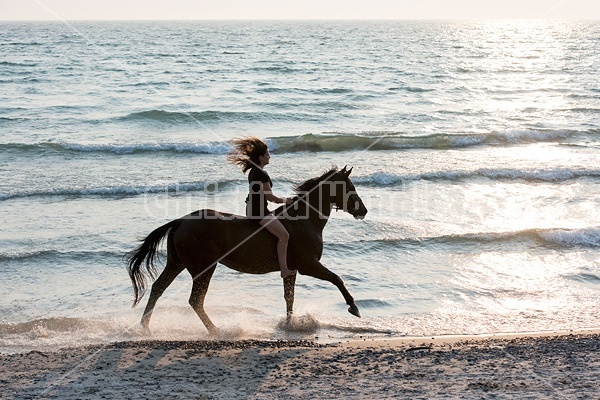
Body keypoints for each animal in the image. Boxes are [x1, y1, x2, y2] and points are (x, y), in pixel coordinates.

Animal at [127, 164, 366, 332]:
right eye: (350, 188)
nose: (363, 211)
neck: (304, 220)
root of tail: (181, 220)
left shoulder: (292, 270)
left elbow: (289, 297)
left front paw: (290, 324)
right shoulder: (309, 265)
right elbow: (336, 279)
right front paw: (354, 308)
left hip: (177, 263)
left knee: (158, 288)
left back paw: (145, 327)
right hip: (203, 267)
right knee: (195, 300)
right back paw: (217, 330)